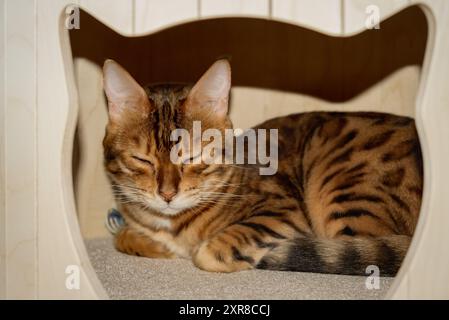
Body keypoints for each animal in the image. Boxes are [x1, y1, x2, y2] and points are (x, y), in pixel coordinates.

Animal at [100, 58, 420, 276]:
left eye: (192, 157)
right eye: (142, 160)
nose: (167, 195)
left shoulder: (283, 211)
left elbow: (210, 251)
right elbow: (122, 236)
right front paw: (154, 245)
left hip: (343, 188)